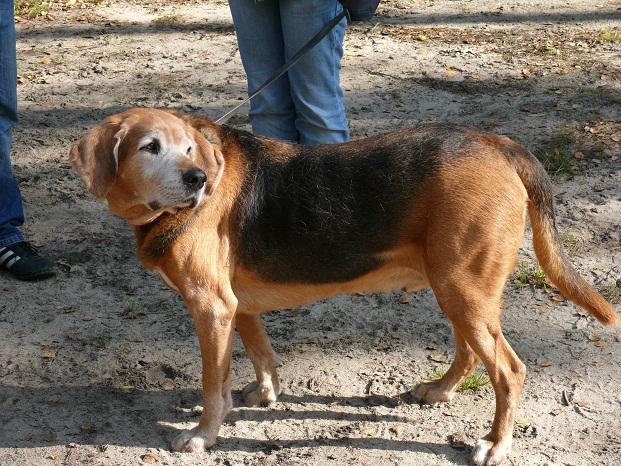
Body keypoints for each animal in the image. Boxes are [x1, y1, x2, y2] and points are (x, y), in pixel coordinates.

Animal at [71, 107, 616, 464]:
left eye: (188, 149)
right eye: (150, 148)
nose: (198, 180)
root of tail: (498, 143)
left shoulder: (211, 308)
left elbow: (212, 386)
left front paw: (203, 436)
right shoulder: (237, 308)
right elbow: (261, 354)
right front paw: (264, 394)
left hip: (463, 290)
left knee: (510, 371)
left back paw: (497, 444)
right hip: (458, 290)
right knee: (469, 353)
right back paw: (440, 390)